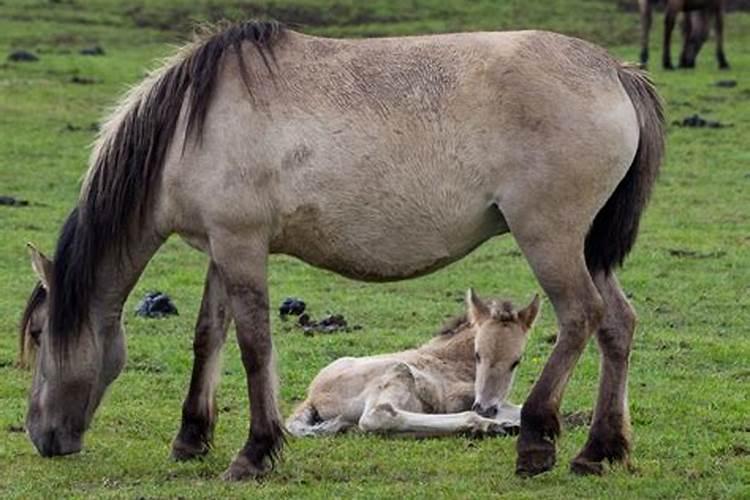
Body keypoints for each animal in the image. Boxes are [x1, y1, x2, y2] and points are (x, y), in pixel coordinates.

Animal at [288, 290, 540, 438]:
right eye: (478, 355)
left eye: (516, 361)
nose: (485, 408)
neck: (454, 360)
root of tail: (312, 396)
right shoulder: (456, 400)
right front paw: (500, 421)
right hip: (397, 371)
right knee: (378, 416)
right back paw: (488, 425)